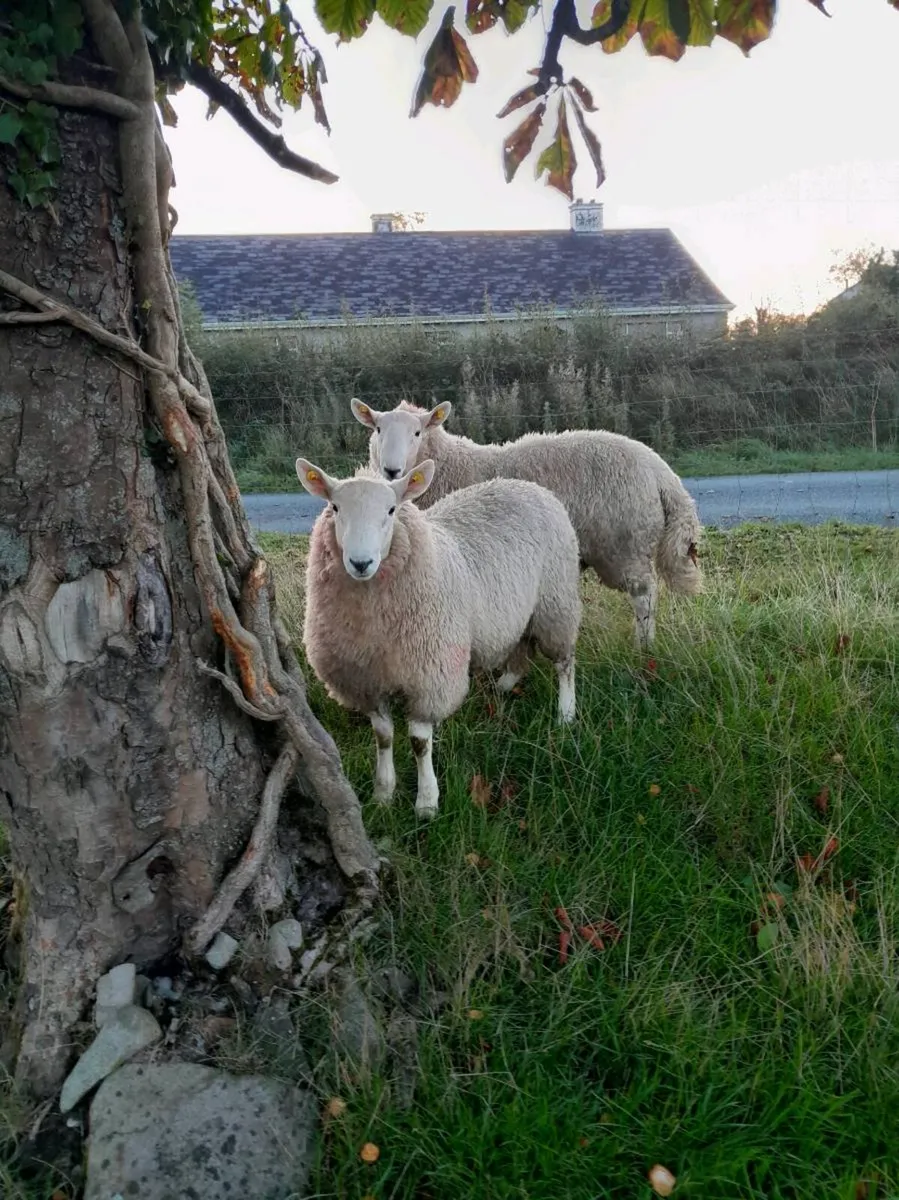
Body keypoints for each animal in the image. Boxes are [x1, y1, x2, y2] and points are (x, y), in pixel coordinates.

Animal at [296, 455, 582, 819]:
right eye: (335, 507)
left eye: (391, 510)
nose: (361, 563)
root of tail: (530, 487)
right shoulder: (366, 681)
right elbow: (383, 736)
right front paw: (383, 793)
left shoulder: (430, 675)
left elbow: (419, 743)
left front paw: (427, 803)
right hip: (522, 608)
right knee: (522, 647)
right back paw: (505, 684)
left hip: (556, 601)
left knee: (565, 661)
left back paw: (566, 713)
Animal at [351, 397, 702, 649]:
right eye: (378, 430)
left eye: (417, 432)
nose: (392, 470)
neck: (451, 465)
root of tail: (663, 474)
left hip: (625, 544)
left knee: (644, 596)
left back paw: (643, 649)